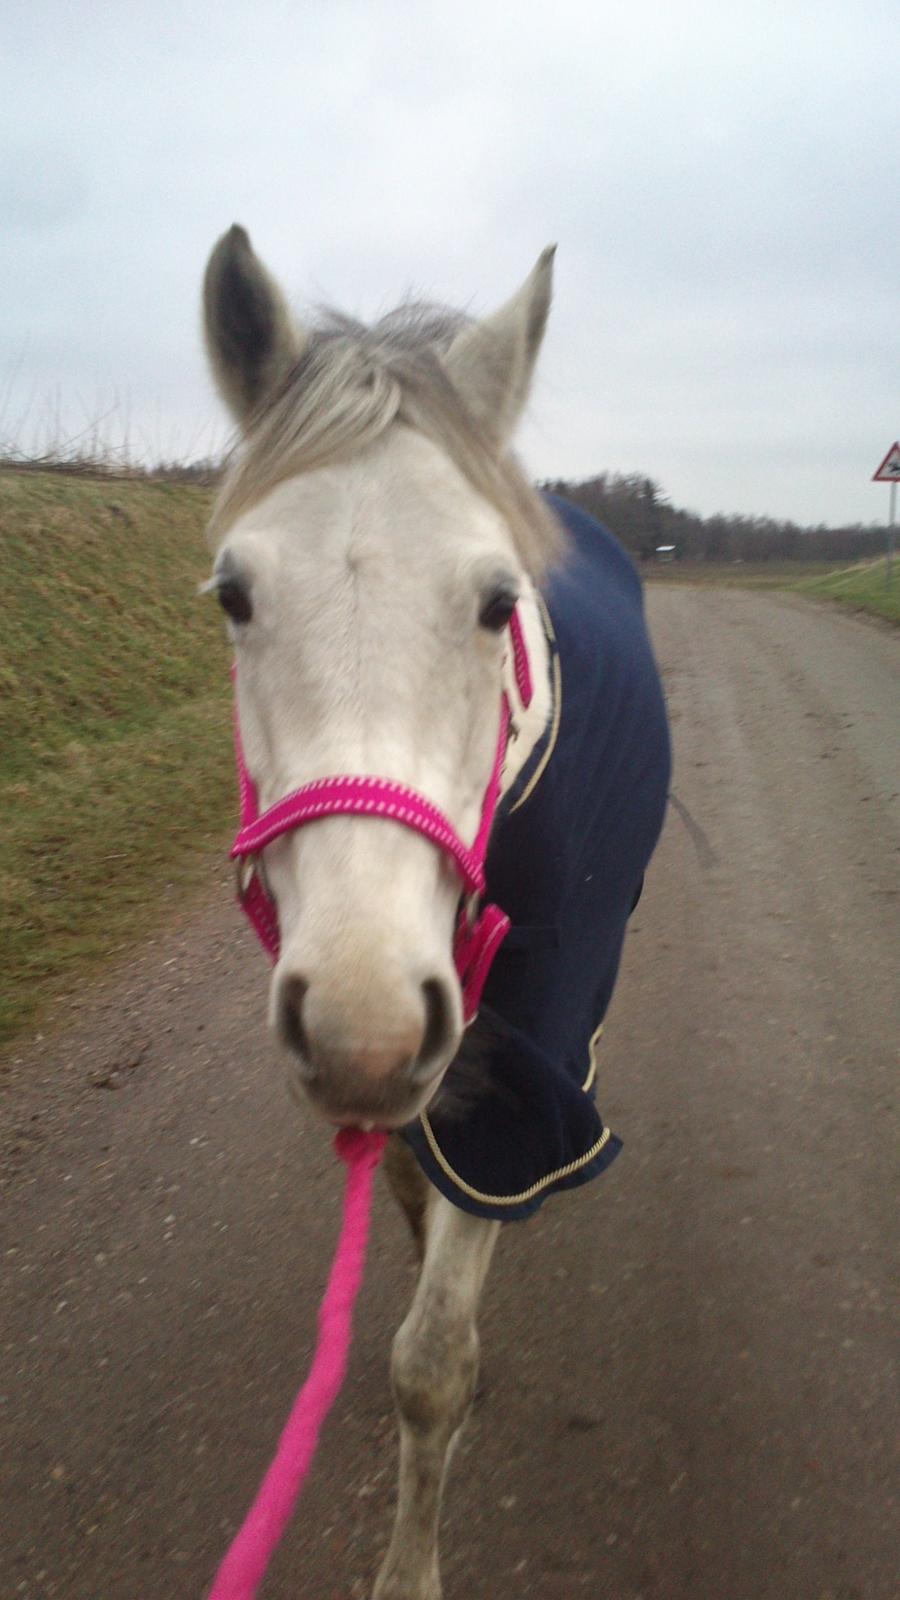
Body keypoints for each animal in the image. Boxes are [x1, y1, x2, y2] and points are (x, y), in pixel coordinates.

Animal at [201, 225, 671, 1599]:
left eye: (498, 603)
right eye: (234, 595)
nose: (361, 1027)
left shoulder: (519, 1076)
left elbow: (433, 1363)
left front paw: (410, 1569)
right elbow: (411, 1191)